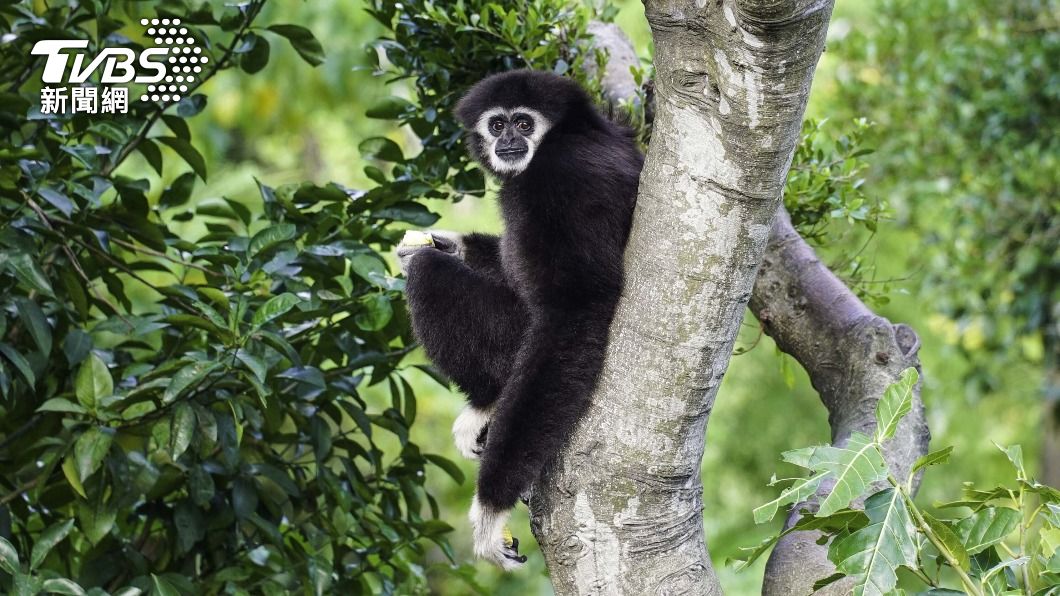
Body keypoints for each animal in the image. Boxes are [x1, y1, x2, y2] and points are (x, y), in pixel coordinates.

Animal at [396, 70, 642, 569]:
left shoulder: (561, 179)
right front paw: (442, 241)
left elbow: (572, 311)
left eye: (525, 123)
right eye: (497, 124)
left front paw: (491, 509)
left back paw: (488, 404)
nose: (508, 140)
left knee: (428, 275)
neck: (570, 133)